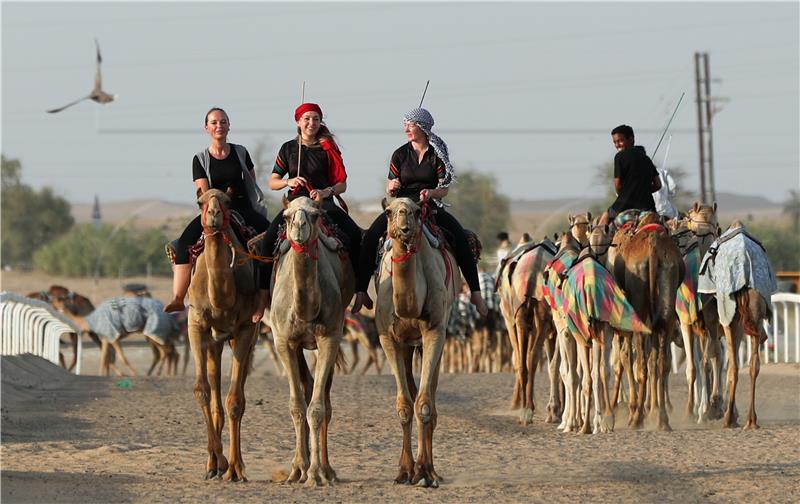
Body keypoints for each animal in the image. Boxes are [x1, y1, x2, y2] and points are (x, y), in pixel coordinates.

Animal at [270, 196, 354, 484]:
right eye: (286, 216)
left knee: (324, 400)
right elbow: (297, 406)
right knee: (307, 389)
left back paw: (327, 469)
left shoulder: (329, 337)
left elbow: (317, 409)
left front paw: (316, 473)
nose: (299, 227)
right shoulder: (283, 341)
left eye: (315, 215)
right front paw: (297, 469)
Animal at [376, 198, 460, 488]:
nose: (404, 226)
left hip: (433, 339)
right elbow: (404, 406)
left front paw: (424, 473)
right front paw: (404, 471)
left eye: (414, 209)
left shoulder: (434, 331)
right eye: (389, 211)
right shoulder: (388, 338)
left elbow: (423, 405)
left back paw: (430, 471)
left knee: (429, 399)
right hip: (408, 345)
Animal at [612, 211, 680, 432]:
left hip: (638, 313)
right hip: (667, 298)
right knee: (660, 363)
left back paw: (636, 419)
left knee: (639, 364)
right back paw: (662, 420)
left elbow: (626, 358)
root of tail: (653, 247)